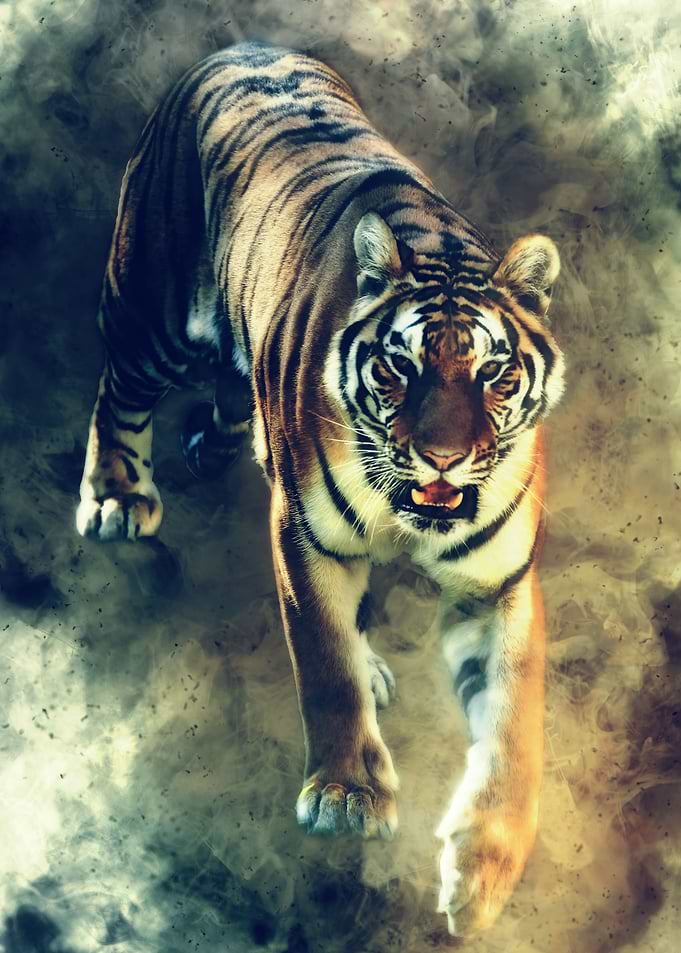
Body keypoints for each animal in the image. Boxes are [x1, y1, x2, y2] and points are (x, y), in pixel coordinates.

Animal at [76, 42, 565, 936]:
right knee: (119, 387)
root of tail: (243, 46)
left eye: (494, 373)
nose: (442, 457)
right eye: (399, 366)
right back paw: (118, 496)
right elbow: (325, 663)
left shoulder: (498, 584)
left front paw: (484, 868)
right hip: (147, 309)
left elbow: (513, 721)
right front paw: (345, 795)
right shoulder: (306, 537)